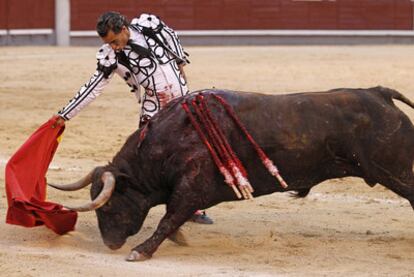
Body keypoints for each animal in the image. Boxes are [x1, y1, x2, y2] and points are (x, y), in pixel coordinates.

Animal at [50, 87, 414, 260]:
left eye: (109, 205)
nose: (110, 244)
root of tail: (378, 93)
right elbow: (172, 218)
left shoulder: (193, 188)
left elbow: (168, 218)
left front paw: (141, 251)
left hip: (398, 170)